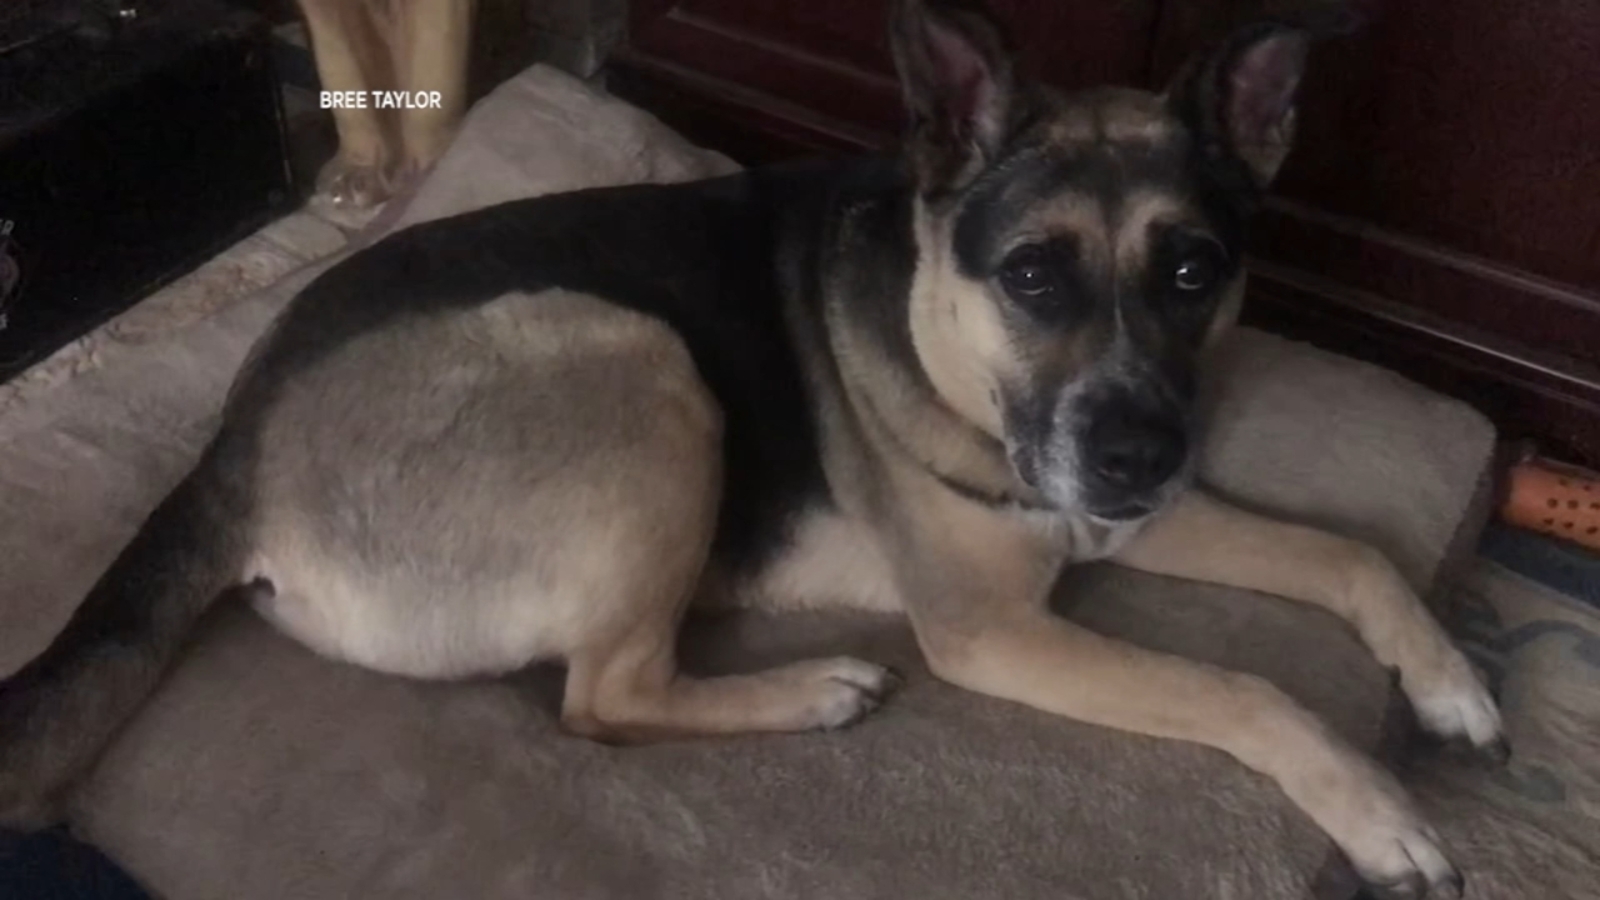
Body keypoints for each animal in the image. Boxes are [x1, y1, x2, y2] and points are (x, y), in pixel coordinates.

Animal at [0, 1, 1504, 896]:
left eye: (1195, 272)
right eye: (1032, 277)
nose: (1138, 453)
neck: (943, 329)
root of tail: (235, 442)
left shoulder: (1130, 507)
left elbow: (1351, 552)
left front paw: (1447, 680)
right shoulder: (994, 628)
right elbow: (1246, 691)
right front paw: (1377, 807)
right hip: (643, 363)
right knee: (604, 700)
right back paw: (810, 690)